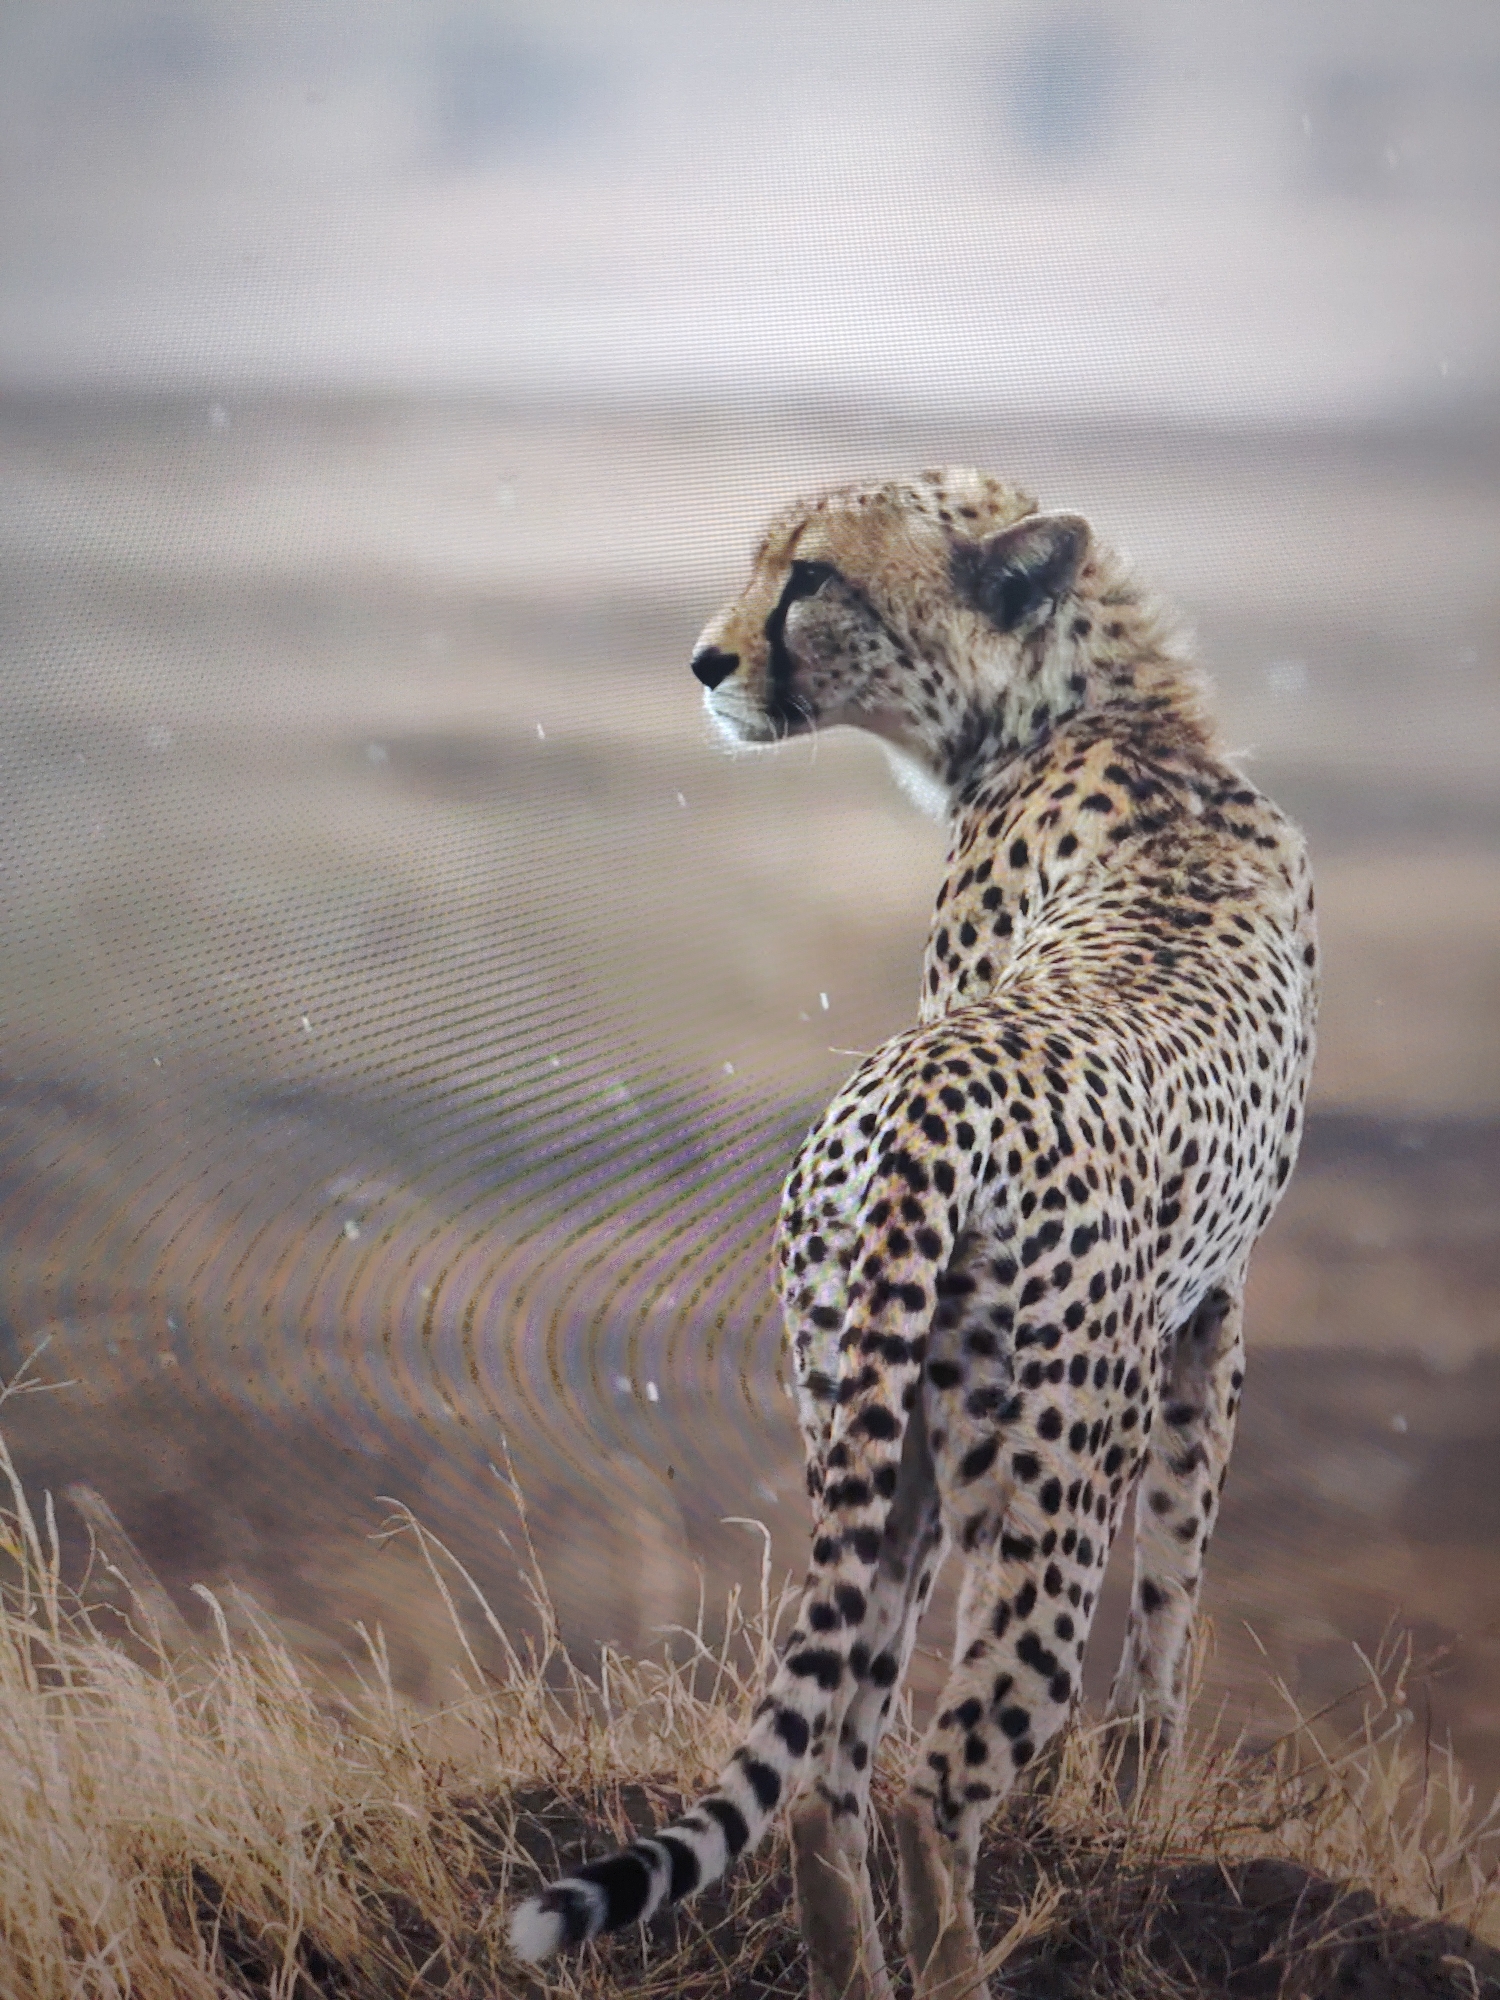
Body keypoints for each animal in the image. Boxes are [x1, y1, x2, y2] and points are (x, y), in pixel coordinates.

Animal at [509, 468, 1318, 1999]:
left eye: (814, 577)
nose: (705, 661)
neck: (1112, 712)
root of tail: (927, 1098)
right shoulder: (1211, 1315)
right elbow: (1173, 1584)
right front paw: (1135, 1807)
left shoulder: (1207, 1312)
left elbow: (1175, 1593)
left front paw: (1140, 1804)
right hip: (1038, 1465)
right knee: (934, 1776)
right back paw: (951, 1968)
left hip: (880, 1429)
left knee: (837, 1762)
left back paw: (863, 1969)